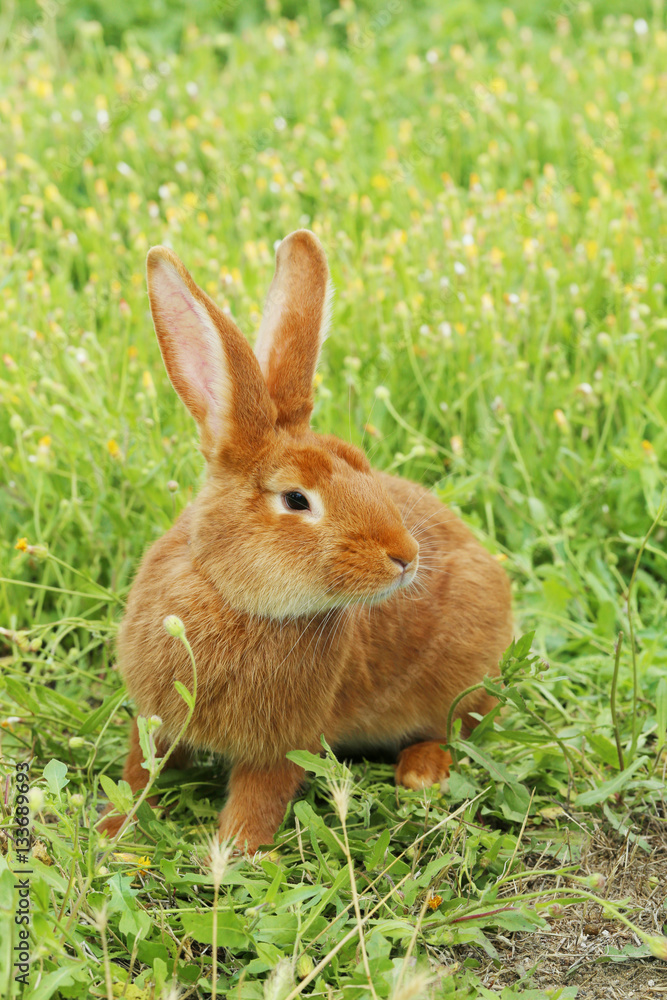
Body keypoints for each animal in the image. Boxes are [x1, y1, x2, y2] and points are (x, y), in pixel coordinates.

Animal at [98, 230, 512, 852]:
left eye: (361, 463)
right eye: (297, 500)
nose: (406, 558)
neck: (230, 595)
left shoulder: (281, 746)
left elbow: (259, 799)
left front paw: (232, 853)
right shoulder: (156, 719)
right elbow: (138, 769)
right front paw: (110, 828)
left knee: (459, 724)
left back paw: (419, 772)